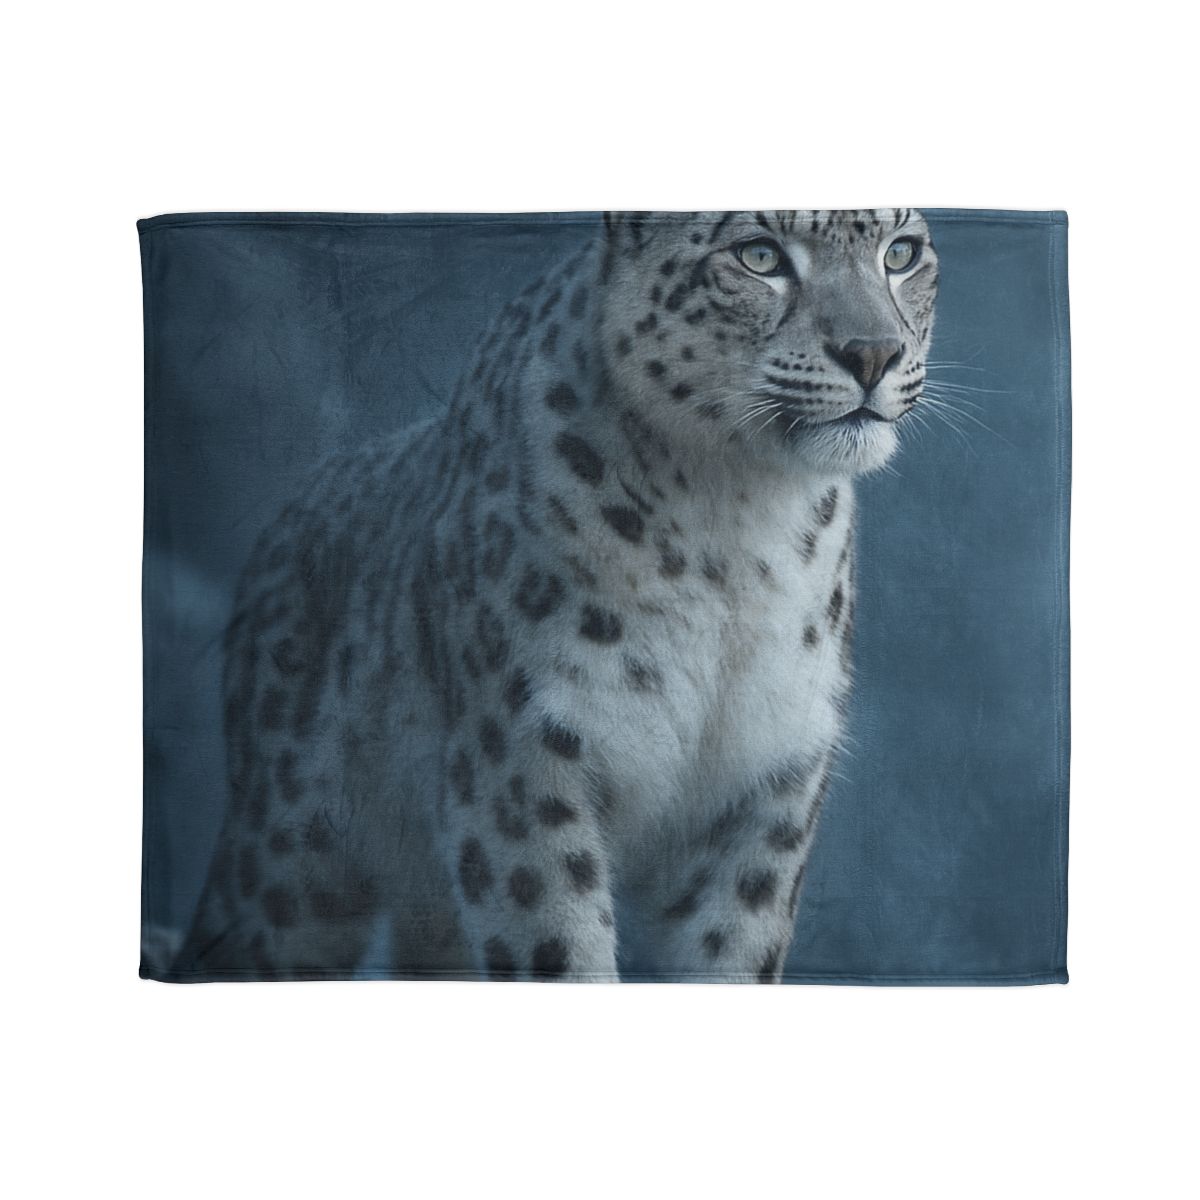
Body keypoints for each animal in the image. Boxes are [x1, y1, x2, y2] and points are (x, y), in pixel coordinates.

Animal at [160, 209, 939, 982]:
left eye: (900, 253)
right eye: (759, 256)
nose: (874, 354)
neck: (740, 527)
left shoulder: (768, 787)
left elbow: (731, 956)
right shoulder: (522, 763)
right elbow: (558, 947)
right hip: (294, 866)